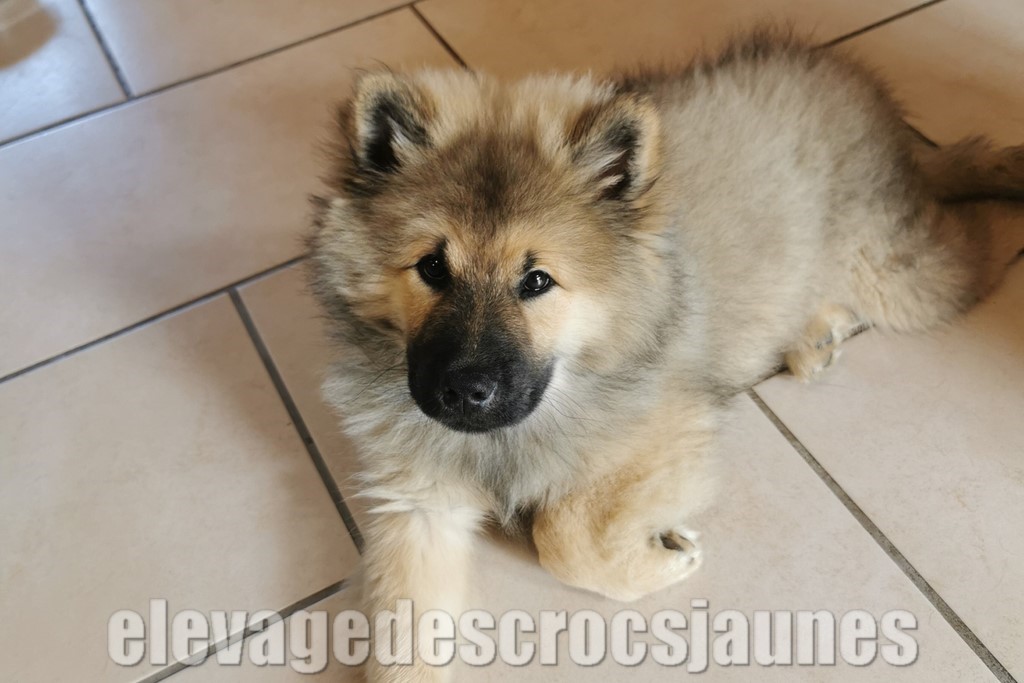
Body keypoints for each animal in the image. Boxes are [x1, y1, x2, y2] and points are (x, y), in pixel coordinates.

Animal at [306, 30, 1024, 681]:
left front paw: (659, 554)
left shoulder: (670, 427)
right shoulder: (416, 503)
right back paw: (814, 338)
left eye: (536, 281)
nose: (462, 391)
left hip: (899, 272)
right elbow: (405, 633)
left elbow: (563, 533)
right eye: (431, 267)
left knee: (972, 239)